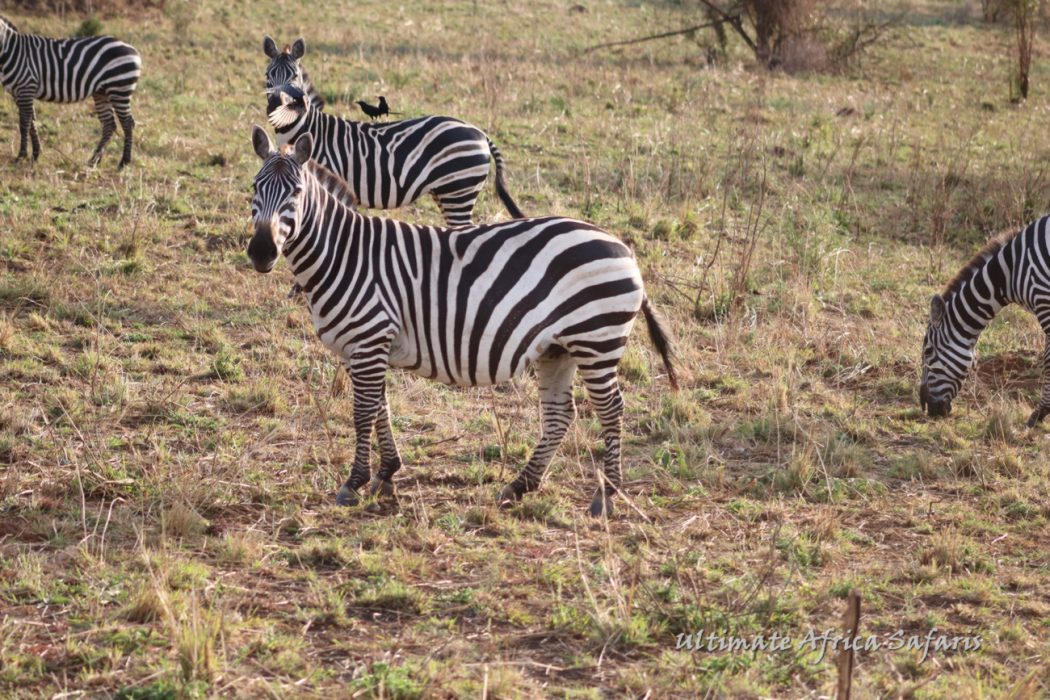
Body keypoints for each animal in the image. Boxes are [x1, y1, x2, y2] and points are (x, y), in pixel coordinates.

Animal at [0, 15, 141, 167]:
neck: (11, 51)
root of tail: (132, 49)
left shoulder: (26, 87)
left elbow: (24, 124)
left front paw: (21, 156)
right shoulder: (19, 94)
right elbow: (32, 122)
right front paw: (35, 154)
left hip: (119, 89)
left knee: (127, 123)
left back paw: (124, 162)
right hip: (102, 92)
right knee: (109, 124)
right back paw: (94, 160)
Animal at [245, 125, 676, 518]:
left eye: (296, 192)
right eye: (254, 188)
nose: (261, 252)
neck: (342, 254)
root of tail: (622, 247)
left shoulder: (368, 340)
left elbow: (364, 411)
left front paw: (354, 483)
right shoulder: (365, 348)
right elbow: (381, 406)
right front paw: (387, 474)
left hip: (596, 340)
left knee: (611, 409)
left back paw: (607, 496)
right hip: (558, 348)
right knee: (559, 415)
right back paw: (520, 485)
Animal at [923, 216, 1050, 428]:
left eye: (928, 352)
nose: (926, 408)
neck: (1010, 272)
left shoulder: (1044, 302)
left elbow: (1048, 362)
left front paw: (1039, 413)